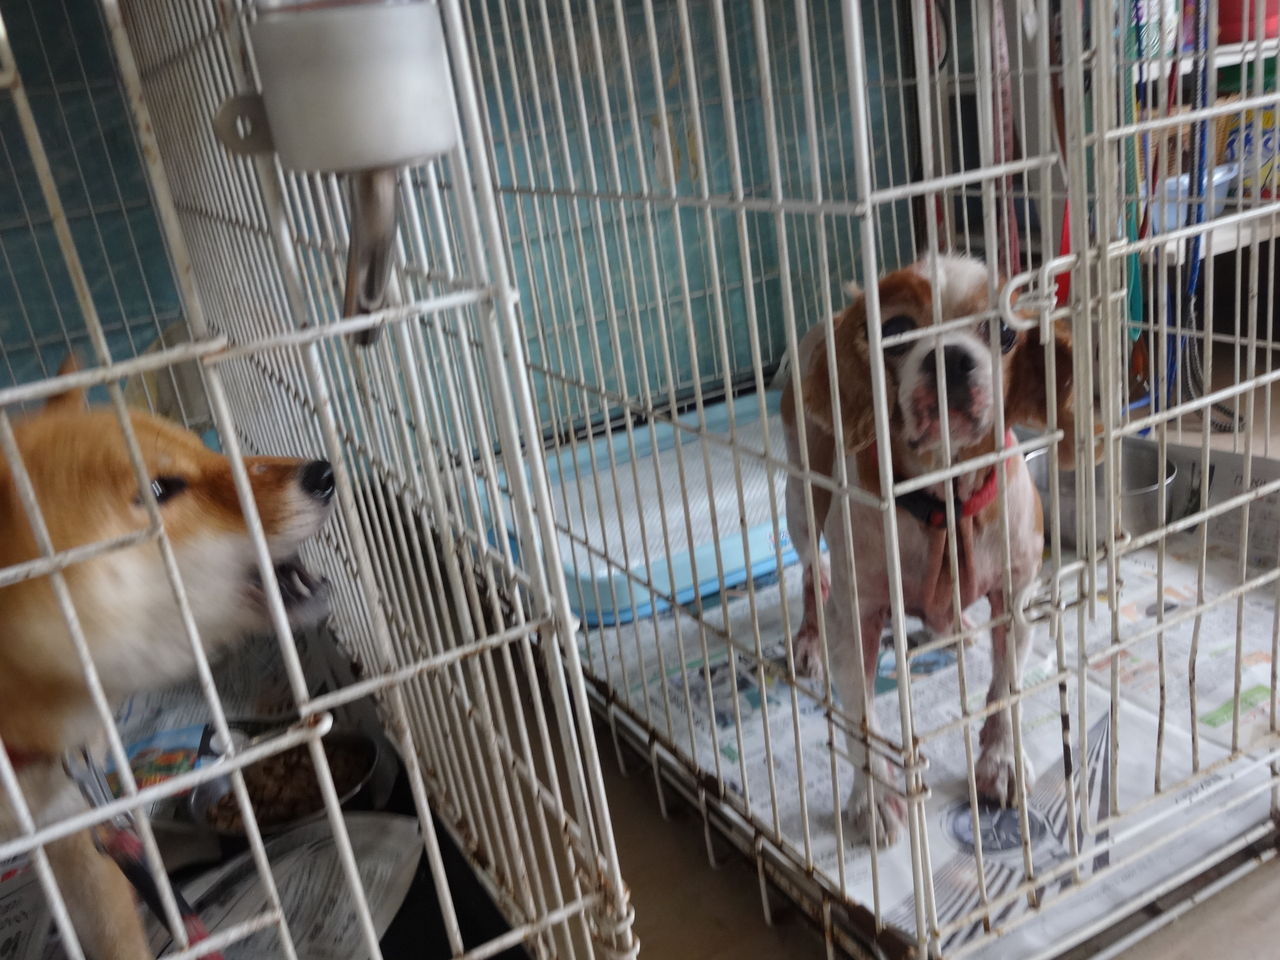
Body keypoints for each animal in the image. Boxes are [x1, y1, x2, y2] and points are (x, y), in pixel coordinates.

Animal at [779, 254, 1083, 845]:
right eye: (896, 329)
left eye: (1005, 330)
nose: (951, 358)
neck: (944, 497)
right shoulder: (858, 620)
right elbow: (863, 722)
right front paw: (874, 796)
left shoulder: (1016, 600)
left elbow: (1005, 690)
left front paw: (1000, 760)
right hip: (801, 503)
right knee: (810, 572)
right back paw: (810, 638)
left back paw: (955, 627)